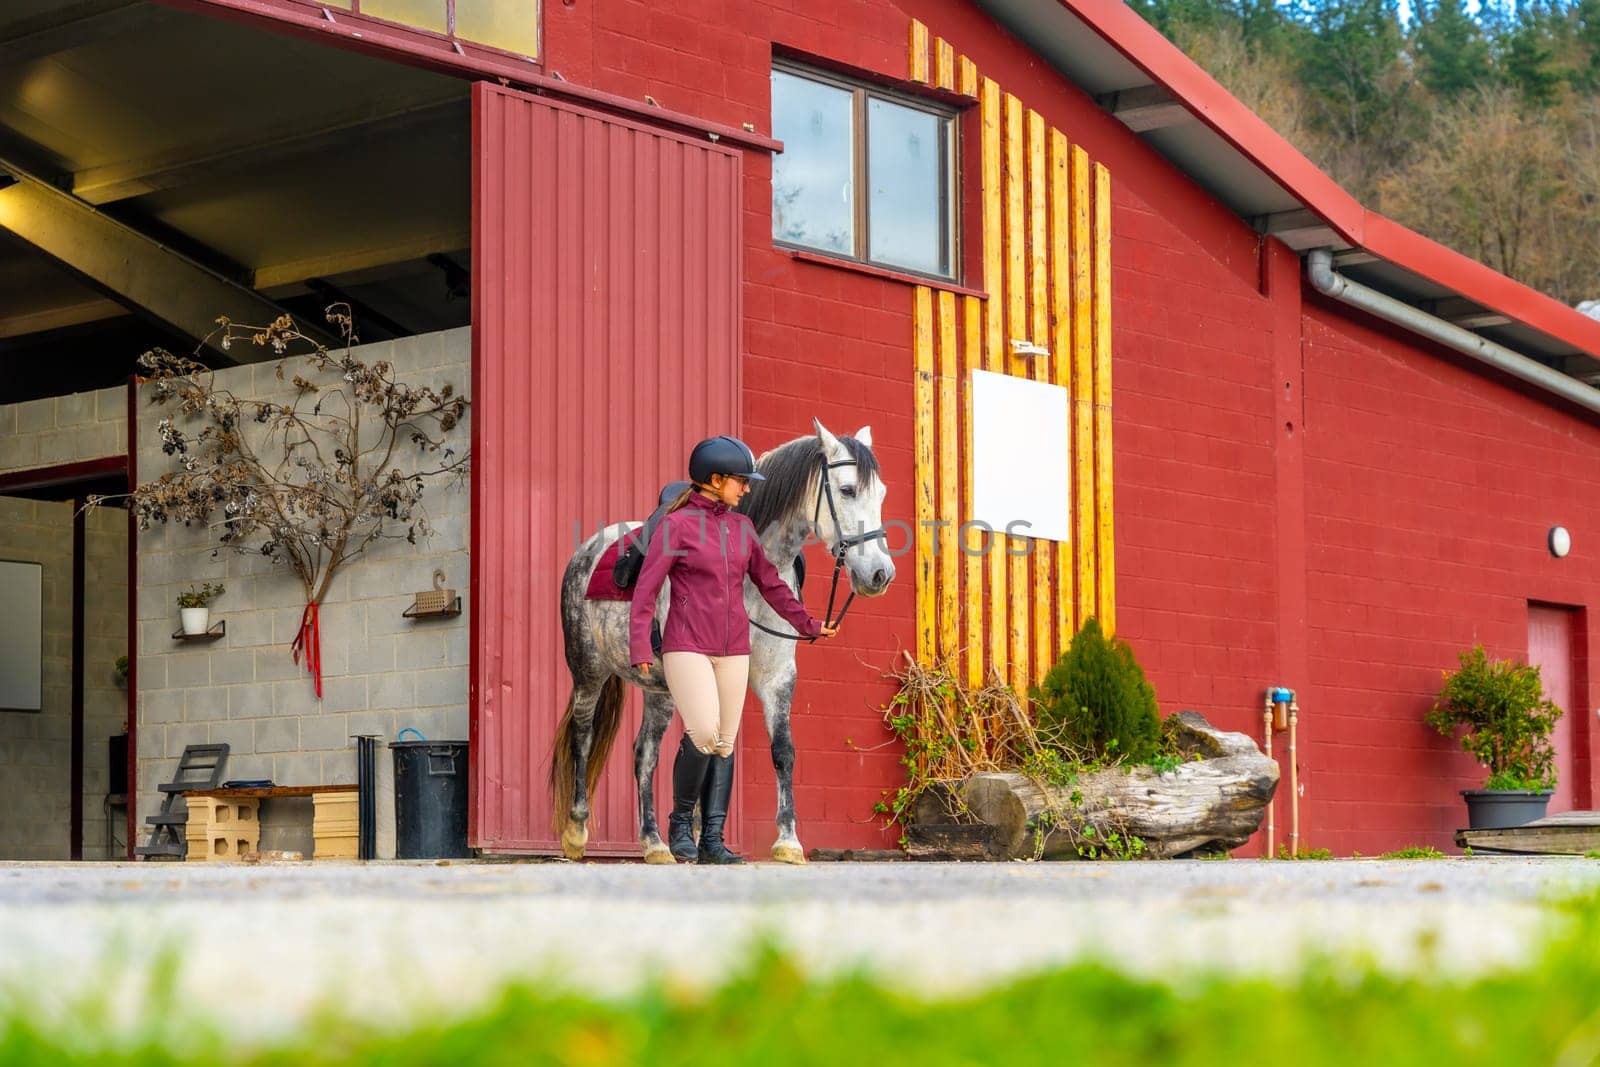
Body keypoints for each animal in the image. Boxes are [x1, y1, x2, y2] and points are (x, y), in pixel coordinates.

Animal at [553, 422, 896, 863]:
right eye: (848, 489)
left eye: (881, 493)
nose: (880, 574)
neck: (746, 582)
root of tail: (590, 548)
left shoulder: (775, 678)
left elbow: (778, 752)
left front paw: (786, 841)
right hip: (588, 672)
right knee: (583, 736)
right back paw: (577, 831)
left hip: (660, 692)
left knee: (645, 754)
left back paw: (654, 842)